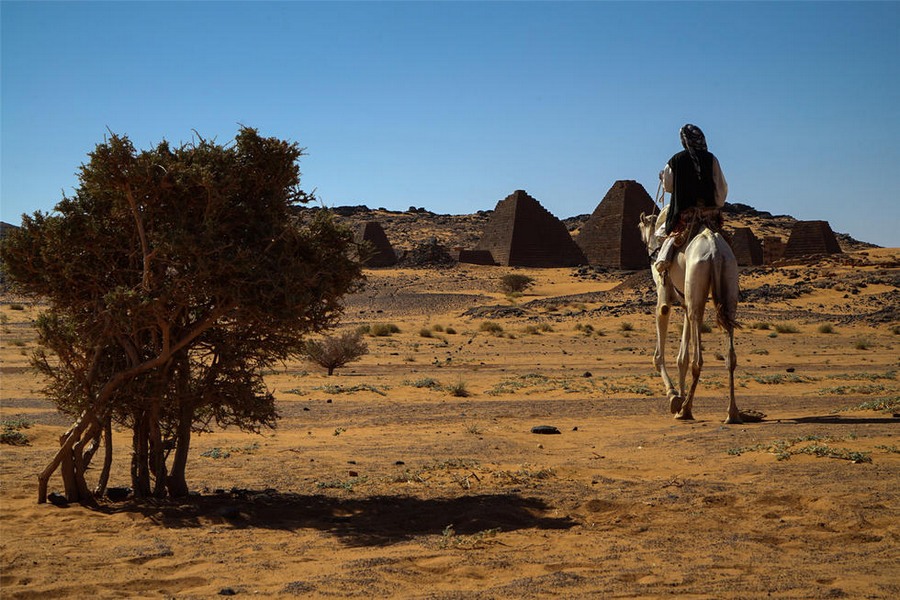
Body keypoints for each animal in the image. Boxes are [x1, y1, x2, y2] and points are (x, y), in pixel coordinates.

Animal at [636, 209, 740, 424]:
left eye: (638, 226)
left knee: (698, 360)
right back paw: (732, 413)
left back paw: (686, 410)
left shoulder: (664, 296)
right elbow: (681, 358)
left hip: (696, 284)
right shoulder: (684, 301)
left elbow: (658, 355)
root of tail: (715, 251)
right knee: (730, 355)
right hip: (727, 284)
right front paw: (680, 397)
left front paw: (674, 396)